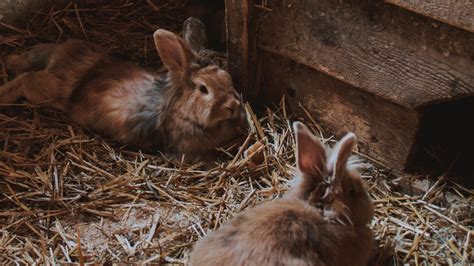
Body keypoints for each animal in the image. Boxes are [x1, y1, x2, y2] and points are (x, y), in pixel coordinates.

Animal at [0, 18, 244, 162]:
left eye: (227, 78)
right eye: (203, 89)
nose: (233, 106)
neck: (184, 113)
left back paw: (9, 61)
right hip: (46, 91)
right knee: (26, 79)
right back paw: (4, 94)